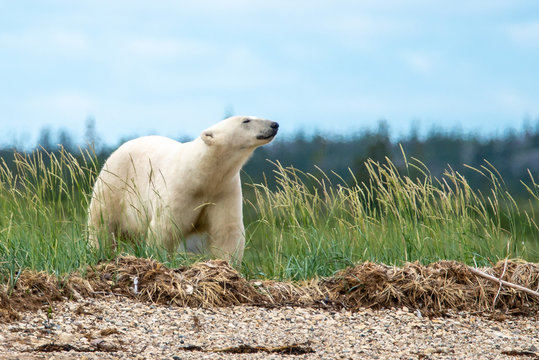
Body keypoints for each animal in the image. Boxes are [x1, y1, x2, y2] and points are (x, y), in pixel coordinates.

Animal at [87, 116, 278, 264]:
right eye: (246, 120)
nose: (274, 124)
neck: (201, 173)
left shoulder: (224, 190)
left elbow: (226, 230)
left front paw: (227, 264)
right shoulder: (179, 189)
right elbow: (165, 227)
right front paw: (159, 258)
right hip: (113, 185)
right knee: (101, 224)